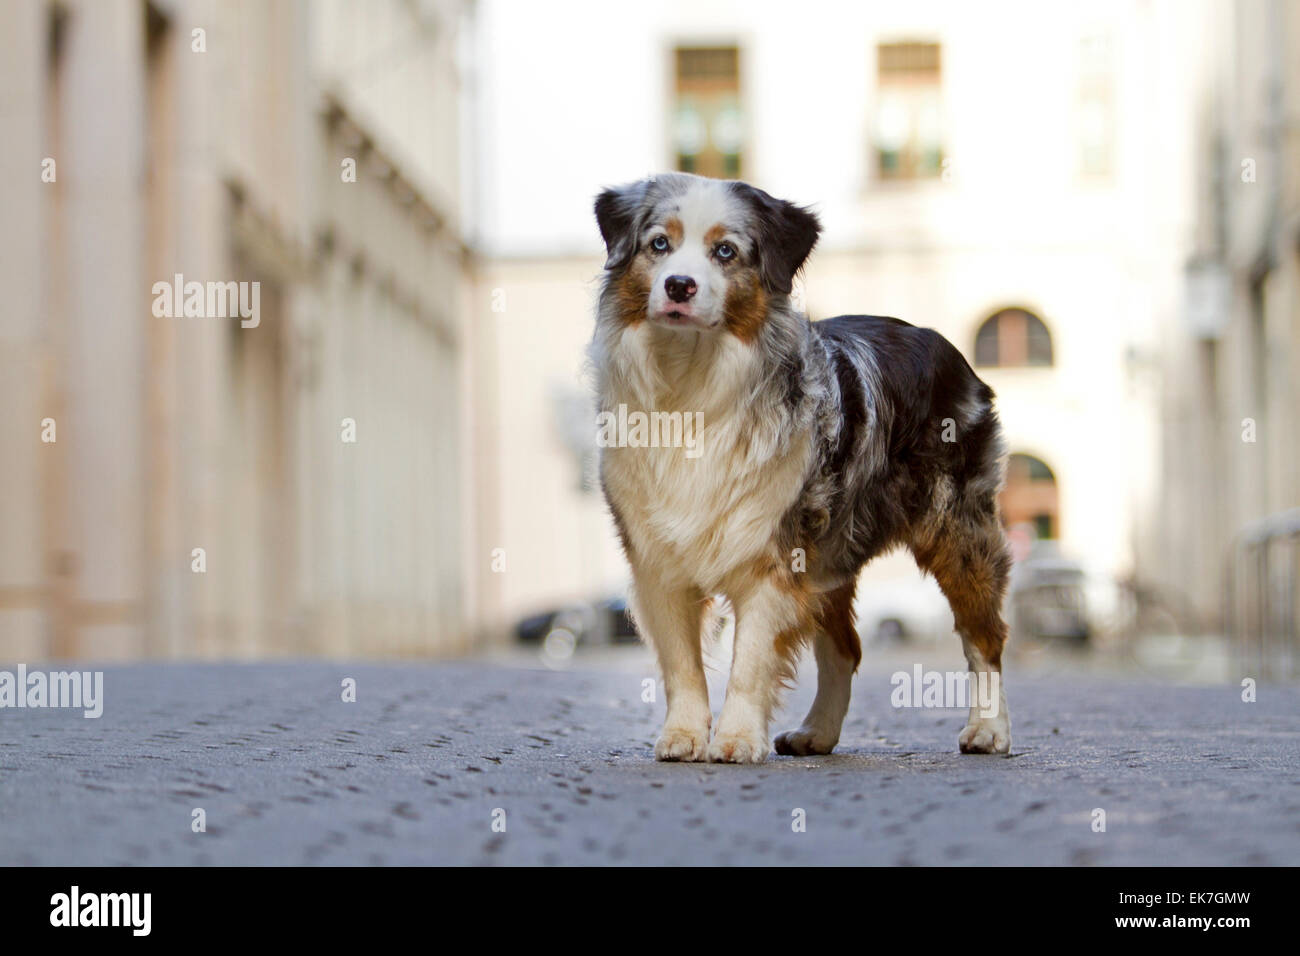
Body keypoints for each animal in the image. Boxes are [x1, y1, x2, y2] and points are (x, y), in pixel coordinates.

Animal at [592, 174, 1013, 764]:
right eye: (659, 244)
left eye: (726, 251)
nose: (678, 286)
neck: (691, 379)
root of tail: (944, 345)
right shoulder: (658, 557)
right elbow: (682, 662)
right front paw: (684, 735)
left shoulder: (774, 551)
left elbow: (750, 659)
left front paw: (737, 738)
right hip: (829, 553)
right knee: (846, 649)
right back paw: (818, 732)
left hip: (958, 531)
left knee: (985, 636)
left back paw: (989, 730)